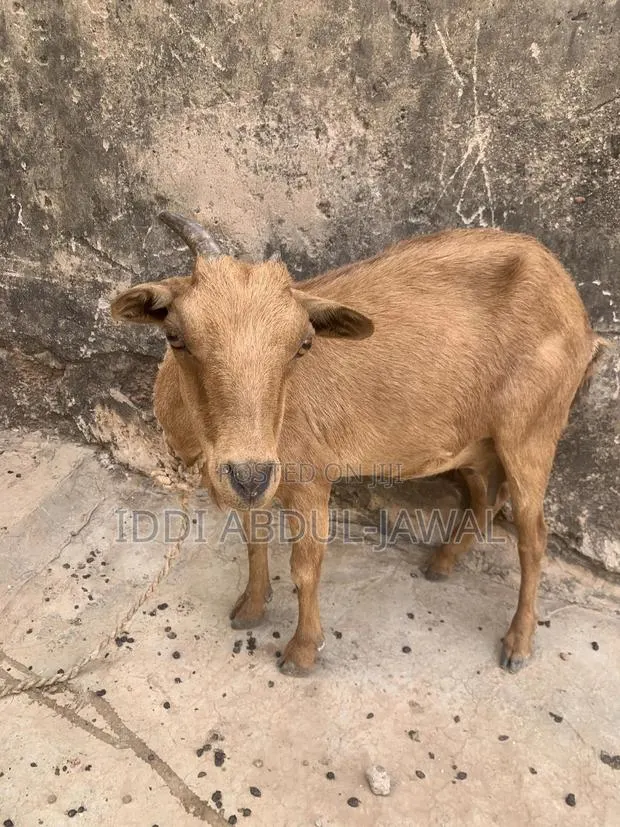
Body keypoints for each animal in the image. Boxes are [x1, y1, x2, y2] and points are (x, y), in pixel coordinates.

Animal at [111, 212, 602, 675]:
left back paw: (518, 644)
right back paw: (440, 565)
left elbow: (305, 567)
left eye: (303, 345)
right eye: (176, 336)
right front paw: (250, 609)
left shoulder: (309, 479)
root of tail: (579, 315)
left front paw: (302, 652)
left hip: (532, 432)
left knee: (533, 537)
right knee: (483, 502)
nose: (248, 474)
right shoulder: (255, 479)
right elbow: (254, 538)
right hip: (475, 442)